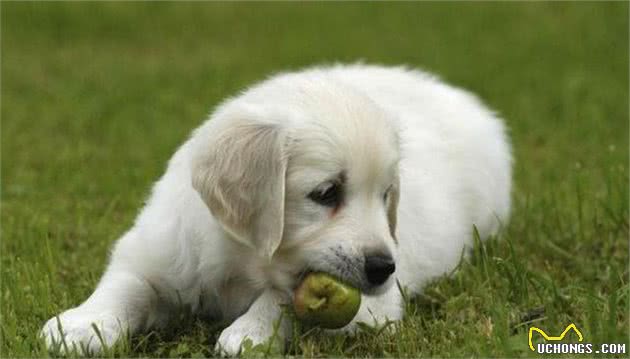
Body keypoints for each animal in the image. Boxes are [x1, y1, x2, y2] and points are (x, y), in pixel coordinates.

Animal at [40, 64, 512, 358]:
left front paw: (249, 333)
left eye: (386, 196)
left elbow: (284, 297)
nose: (383, 268)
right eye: (326, 193)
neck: (242, 261)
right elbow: (126, 284)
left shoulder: (373, 309)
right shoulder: (157, 247)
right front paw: (82, 325)